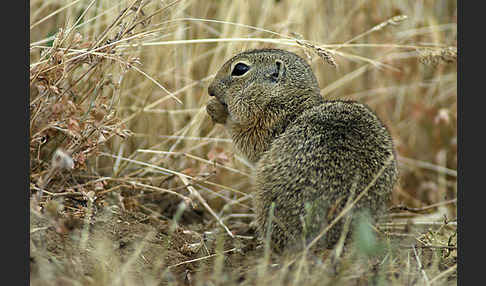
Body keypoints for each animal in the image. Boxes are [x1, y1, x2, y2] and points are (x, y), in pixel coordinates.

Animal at [206, 48, 398, 251]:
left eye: (240, 69)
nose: (209, 90)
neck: (288, 99)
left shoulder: (267, 124)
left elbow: (247, 140)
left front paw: (216, 109)